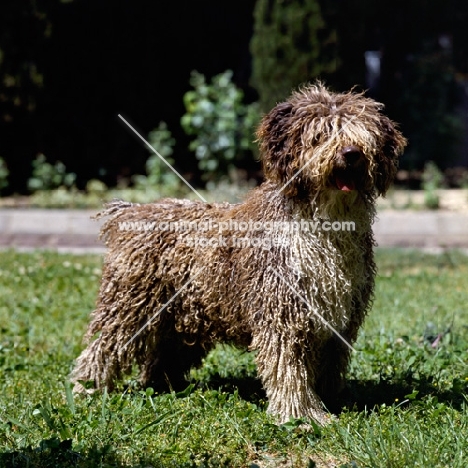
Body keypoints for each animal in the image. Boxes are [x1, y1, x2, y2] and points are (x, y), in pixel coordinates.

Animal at [71, 83, 408, 424]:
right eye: (321, 134)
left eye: (363, 134)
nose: (351, 154)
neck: (325, 227)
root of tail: (133, 211)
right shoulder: (281, 314)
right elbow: (288, 368)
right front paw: (299, 415)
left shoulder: (338, 323)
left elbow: (327, 366)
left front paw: (328, 402)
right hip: (130, 307)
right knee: (102, 348)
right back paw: (85, 388)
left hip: (181, 316)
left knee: (161, 356)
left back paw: (164, 387)